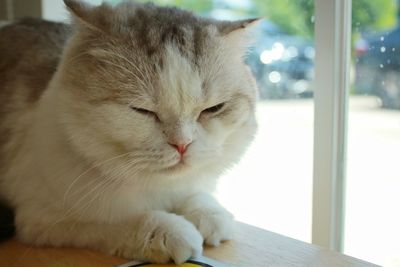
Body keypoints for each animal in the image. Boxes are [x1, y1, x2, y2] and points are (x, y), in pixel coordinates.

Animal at [0, 0, 258, 264]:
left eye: (213, 109)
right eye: (142, 110)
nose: (182, 144)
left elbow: (195, 194)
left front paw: (210, 213)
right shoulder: (45, 219)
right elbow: (123, 221)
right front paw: (171, 232)